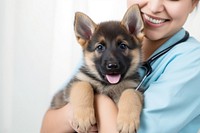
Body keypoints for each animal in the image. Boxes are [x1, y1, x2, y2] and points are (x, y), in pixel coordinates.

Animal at [50, 4, 144, 133]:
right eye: (100, 47)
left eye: (122, 46)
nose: (112, 66)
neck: (106, 85)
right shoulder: (73, 85)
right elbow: (83, 86)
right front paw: (83, 117)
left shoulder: (136, 89)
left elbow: (130, 93)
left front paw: (127, 121)